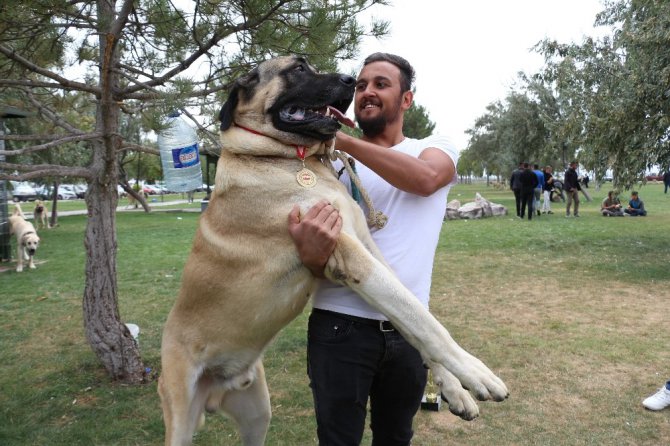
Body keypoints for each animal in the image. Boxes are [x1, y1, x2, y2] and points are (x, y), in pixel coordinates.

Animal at [159, 56, 510, 446]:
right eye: (298, 69)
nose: (352, 80)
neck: (292, 159)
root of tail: (218, 388)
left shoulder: (367, 248)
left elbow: (411, 317)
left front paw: (454, 390)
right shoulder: (350, 255)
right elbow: (422, 319)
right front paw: (477, 374)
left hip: (257, 412)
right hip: (180, 415)